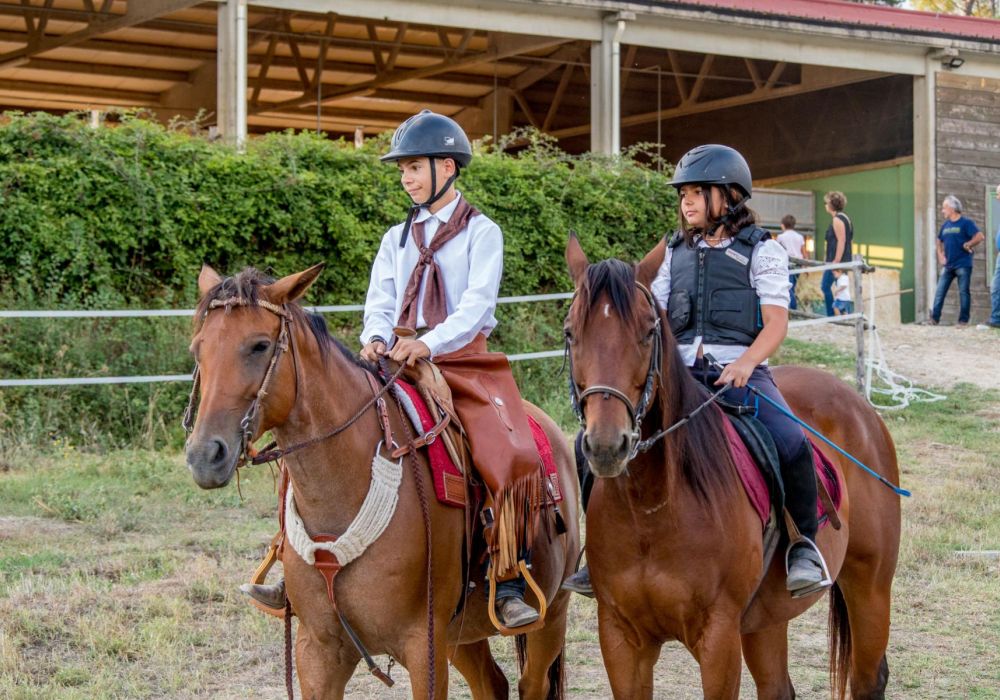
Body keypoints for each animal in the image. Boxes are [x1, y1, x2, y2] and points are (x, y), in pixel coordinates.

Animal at [184, 264, 584, 700]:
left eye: (258, 345)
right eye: (198, 348)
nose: (205, 455)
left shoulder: (424, 647)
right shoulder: (317, 651)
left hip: (551, 613)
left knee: (533, 682)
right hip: (462, 636)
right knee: (492, 683)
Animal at [568, 237, 904, 700]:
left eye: (648, 331)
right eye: (571, 332)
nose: (606, 444)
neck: (651, 509)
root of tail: (857, 402)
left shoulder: (718, 637)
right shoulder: (620, 638)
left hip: (869, 587)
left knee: (868, 679)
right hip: (767, 617)